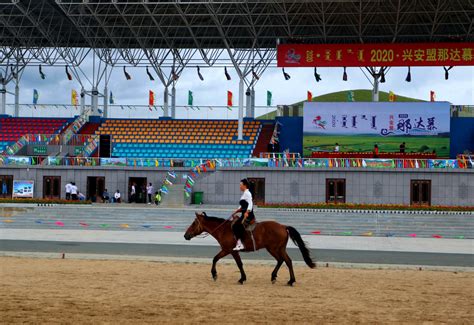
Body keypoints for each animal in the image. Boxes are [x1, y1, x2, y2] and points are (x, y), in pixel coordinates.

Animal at [184, 210, 314, 284]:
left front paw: (215, 274)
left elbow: (219, 259)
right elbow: (237, 263)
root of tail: (283, 226)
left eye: (194, 223)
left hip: (273, 249)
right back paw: (284, 279)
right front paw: (242, 277)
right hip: (279, 249)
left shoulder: (228, 250)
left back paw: (285, 279)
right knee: (286, 261)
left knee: (283, 260)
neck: (223, 229)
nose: (186, 235)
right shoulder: (230, 251)